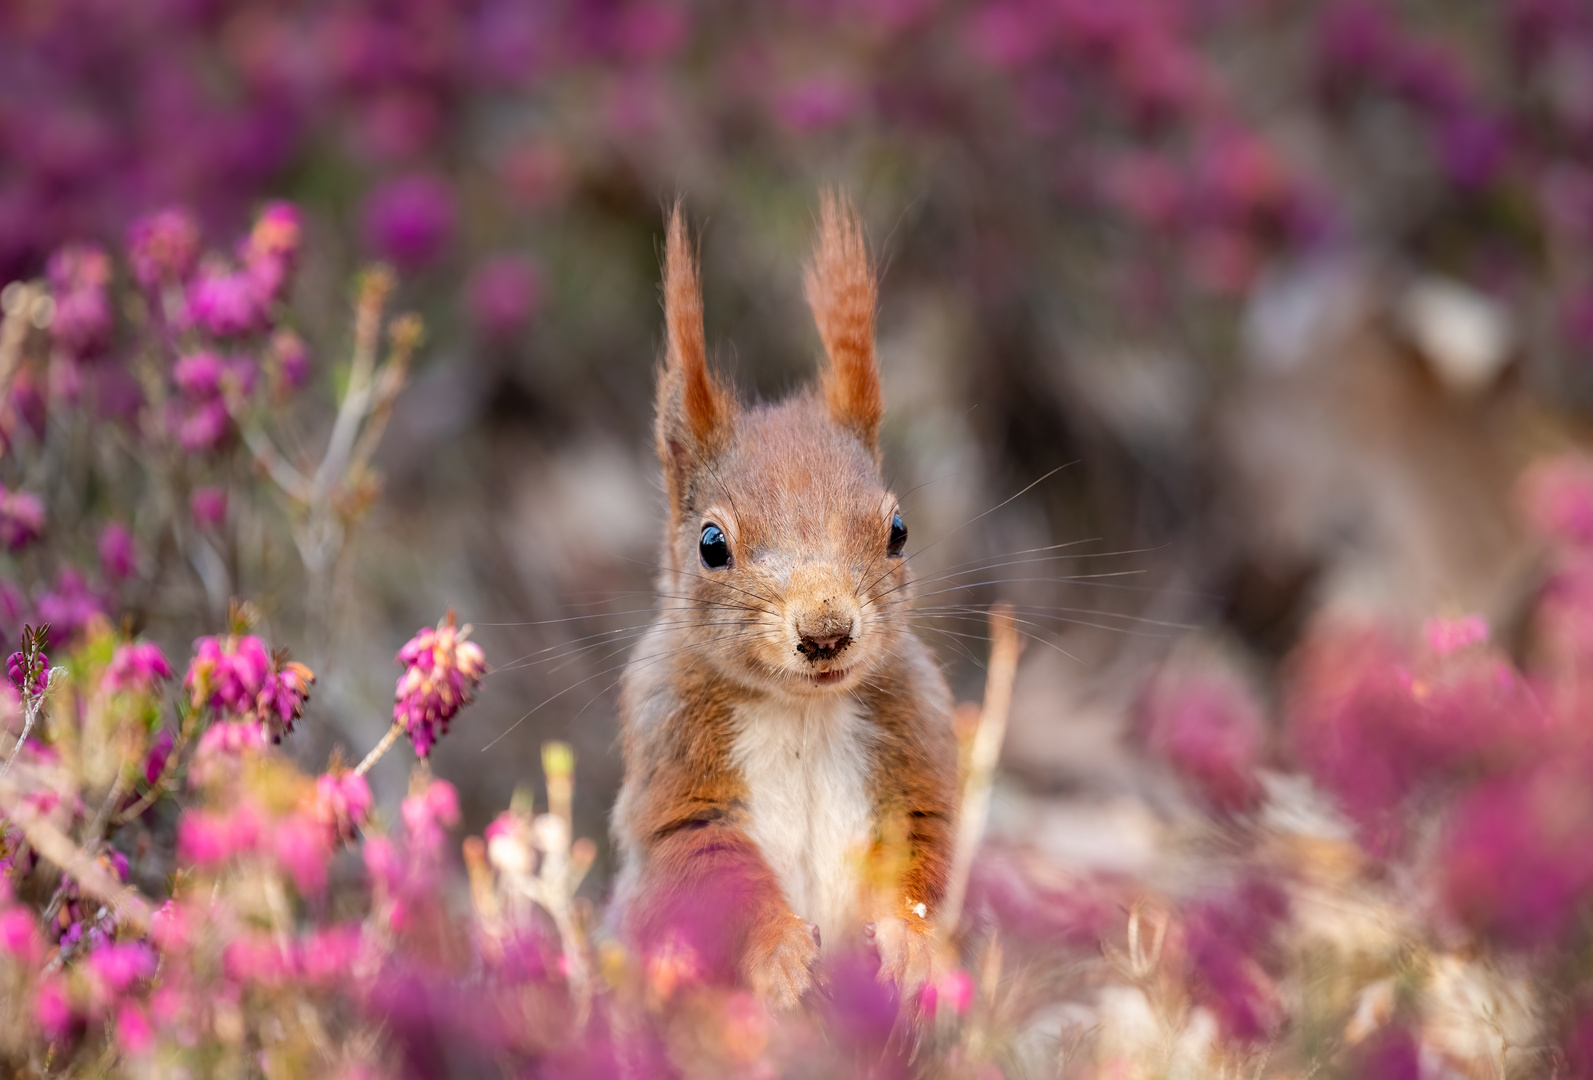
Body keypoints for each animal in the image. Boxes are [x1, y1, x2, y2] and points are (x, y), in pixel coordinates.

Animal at [608, 192, 955, 1006]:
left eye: (897, 530)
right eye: (711, 545)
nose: (826, 632)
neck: (801, 710)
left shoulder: (918, 739)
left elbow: (921, 852)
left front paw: (913, 943)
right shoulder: (670, 764)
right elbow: (711, 868)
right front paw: (782, 953)